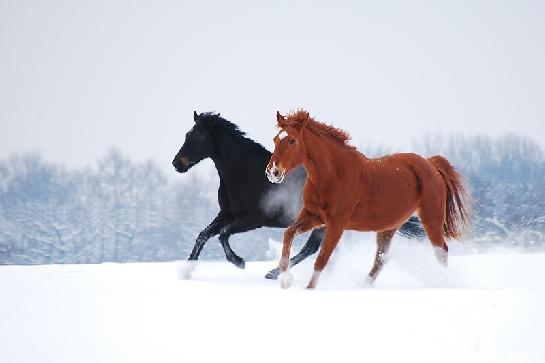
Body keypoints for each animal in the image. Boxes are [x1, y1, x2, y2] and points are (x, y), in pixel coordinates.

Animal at [172, 112, 422, 280]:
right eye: (187, 134)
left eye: (197, 137)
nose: (177, 164)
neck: (245, 174)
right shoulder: (226, 214)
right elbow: (203, 235)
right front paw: (186, 271)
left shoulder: (253, 219)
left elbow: (223, 234)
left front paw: (239, 262)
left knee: (310, 249)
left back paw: (273, 273)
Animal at [264, 111, 468, 290]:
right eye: (275, 139)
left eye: (292, 140)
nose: (272, 171)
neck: (333, 176)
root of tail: (430, 164)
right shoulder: (314, 216)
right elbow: (289, 234)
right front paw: (283, 279)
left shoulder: (337, 224)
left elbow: (322, 258)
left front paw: (308, 289)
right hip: (389, 227)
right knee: (381, 257)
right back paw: (363, 285)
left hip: (431, 219)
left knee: (441, 252)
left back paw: (444, 284)